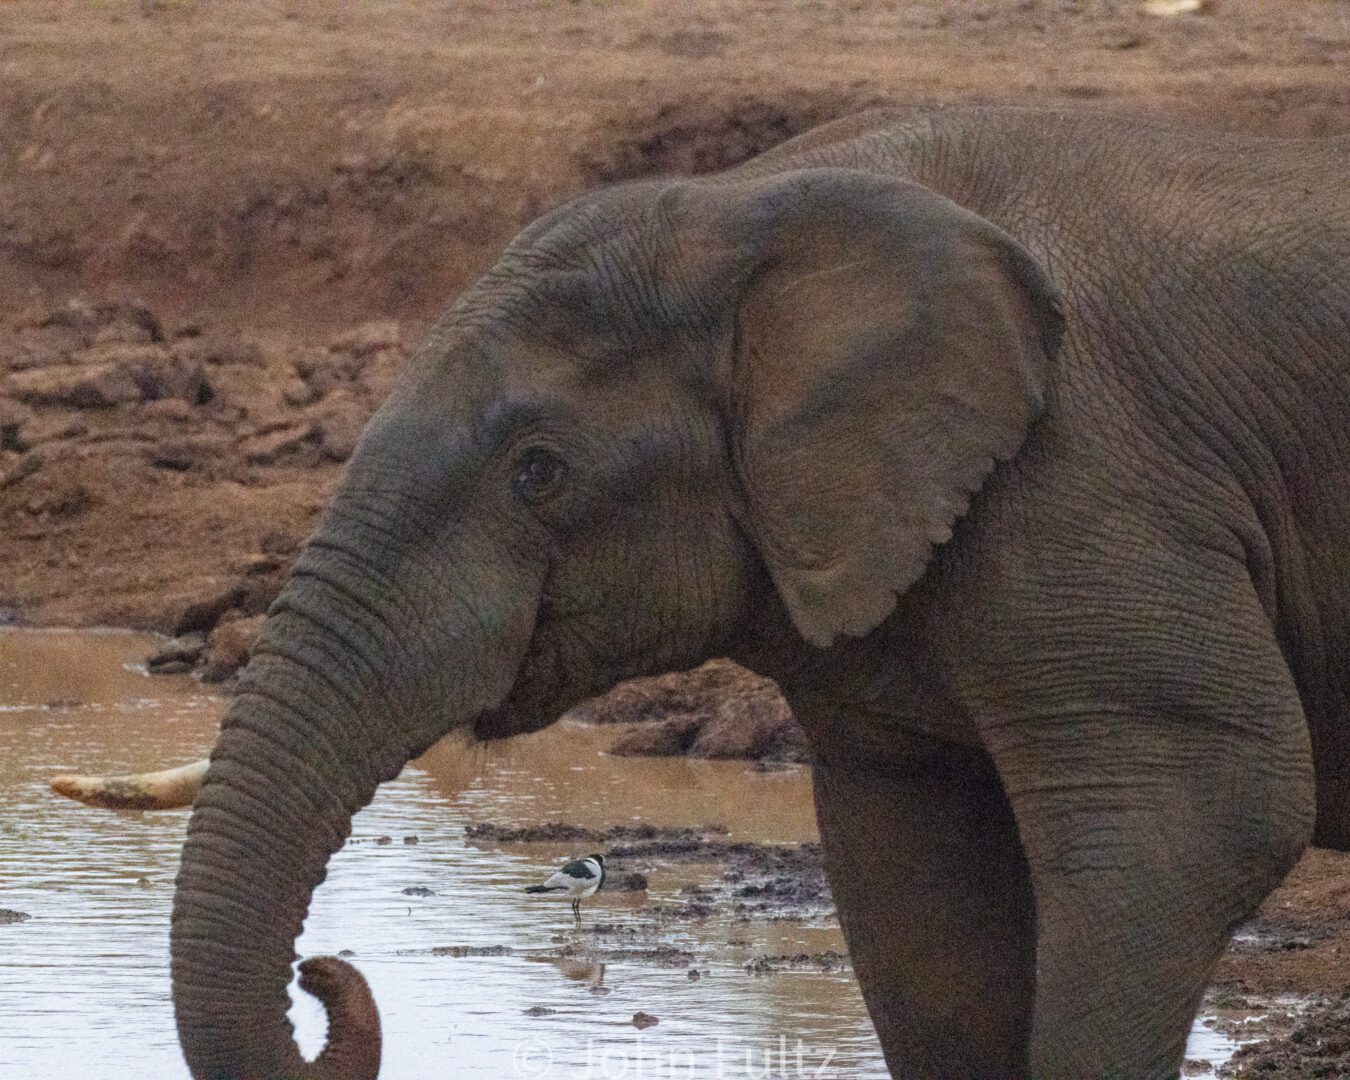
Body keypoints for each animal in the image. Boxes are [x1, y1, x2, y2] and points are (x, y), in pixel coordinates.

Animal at [60, 112, 1350, 1080]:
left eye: (539, 473)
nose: (323, 975)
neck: (747, 214)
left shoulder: (1094, 484)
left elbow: (1206, 813)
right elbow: (920, 891)